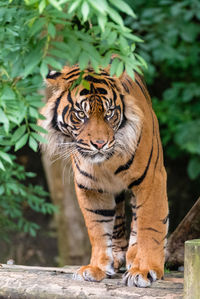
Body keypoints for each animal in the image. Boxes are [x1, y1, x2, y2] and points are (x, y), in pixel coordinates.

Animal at [38, 63, 169, 288]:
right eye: (80, 115)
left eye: (109, 114)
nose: (100, 144)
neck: (106, 162)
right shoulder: (90, 188)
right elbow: (98, 228)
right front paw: (97, 267)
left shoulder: (151, 179)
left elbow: (150, 226)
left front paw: (144, 269)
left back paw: (134, 256)